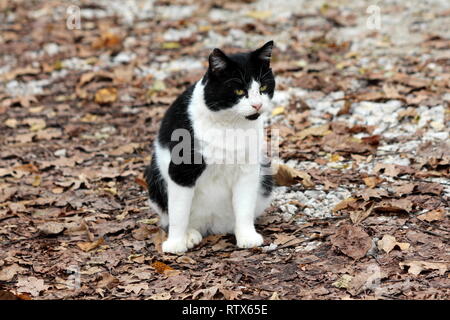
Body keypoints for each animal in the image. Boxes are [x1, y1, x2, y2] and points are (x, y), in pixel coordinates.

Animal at [146, 41, 276, 254]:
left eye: (263, 87)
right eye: (239, 91)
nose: (257, 105)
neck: (229, 125)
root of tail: (212, 225)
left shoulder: (248, 169)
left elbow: (244, 207)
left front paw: (247, 236)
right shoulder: (181, 171)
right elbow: (179, 213)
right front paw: (175, 244)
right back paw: (190, 234)